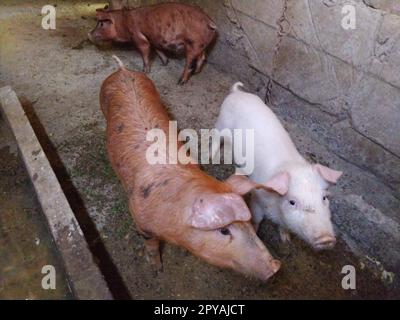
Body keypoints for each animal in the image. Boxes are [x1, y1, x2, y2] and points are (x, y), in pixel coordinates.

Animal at [89, 2, 217, 84]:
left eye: (101, 24)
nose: (89, 34)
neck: (124, 23)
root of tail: (209, 21)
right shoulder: (154, 40)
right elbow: (158, 50)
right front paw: (165, 63)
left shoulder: (139, 38)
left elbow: (145, 52)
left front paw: (144, 72)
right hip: (200, 45)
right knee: (202, 56)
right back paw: (196, 72)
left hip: (194, 44)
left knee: (189, 63)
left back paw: (180, 82)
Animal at [99, 56, 282, 282]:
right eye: (224, 231)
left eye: (248, 222)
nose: (275, 267)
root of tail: (122, 70)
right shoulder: (140, 219)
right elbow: (151, 245)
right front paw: (157, 270)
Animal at [212, 82, 344, 250]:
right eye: (292, 201)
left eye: (324, 198)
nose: (326, 239)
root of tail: (236, 93)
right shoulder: (257, 197)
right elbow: (256, 218)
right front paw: (256, 234)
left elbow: (284, 227)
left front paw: (286, 240)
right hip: (221, 123)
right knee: (215, 136)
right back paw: (213, 156)